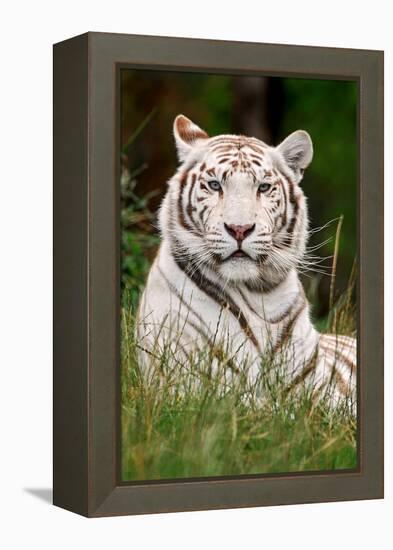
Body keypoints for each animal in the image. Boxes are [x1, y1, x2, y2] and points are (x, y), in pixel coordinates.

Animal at [137, 115, 356, 410]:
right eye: (214, 185)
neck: (260, 294)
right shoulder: (190, 381)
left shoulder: (319, 387)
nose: (239, 229)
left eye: (263, 187)